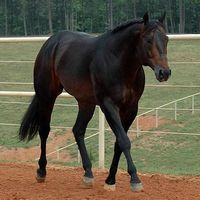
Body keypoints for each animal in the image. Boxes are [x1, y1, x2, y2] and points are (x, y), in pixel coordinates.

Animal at [19, 12, 170, 192]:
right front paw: (135, 179)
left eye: (166, 39)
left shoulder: (131, 108)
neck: (119, 62)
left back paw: (88, 173)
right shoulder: (108, 105)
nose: (164, 72)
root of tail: (51, 42)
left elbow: (119, 143)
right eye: (148, 40)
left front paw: (110, 180)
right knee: (44, 130)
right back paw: (41, 171)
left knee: (78, 130)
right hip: (47, 96)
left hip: (86, 103)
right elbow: (124, 141)